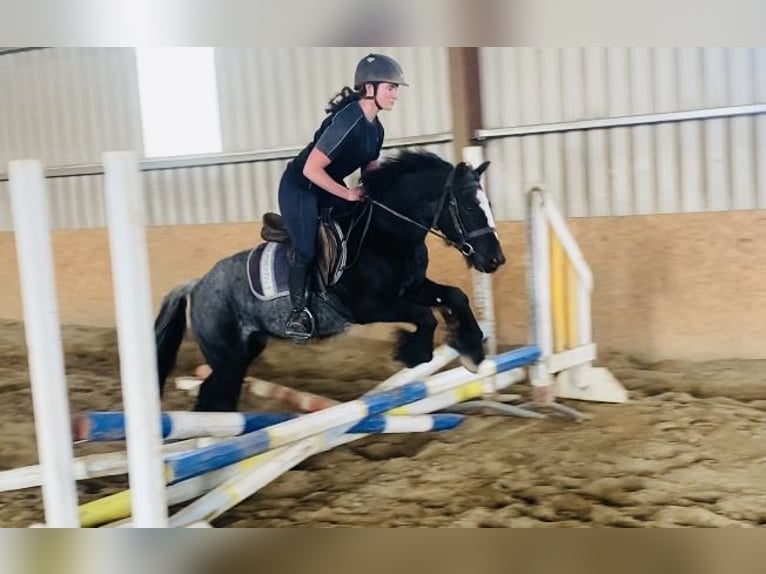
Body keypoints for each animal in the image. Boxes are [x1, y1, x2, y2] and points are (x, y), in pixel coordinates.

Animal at [153, 151, 508, 412]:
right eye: (468, 206)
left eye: (489, 205)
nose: (494, 260)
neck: (386, 233)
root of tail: (197, 285)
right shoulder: (369, 307)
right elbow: (424, 316)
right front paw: (414, 352)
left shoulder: (413, 288)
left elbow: (456, 296)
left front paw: (472, 350)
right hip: (228, 356)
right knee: (215, 395)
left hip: (245, 350)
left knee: (215, 395)